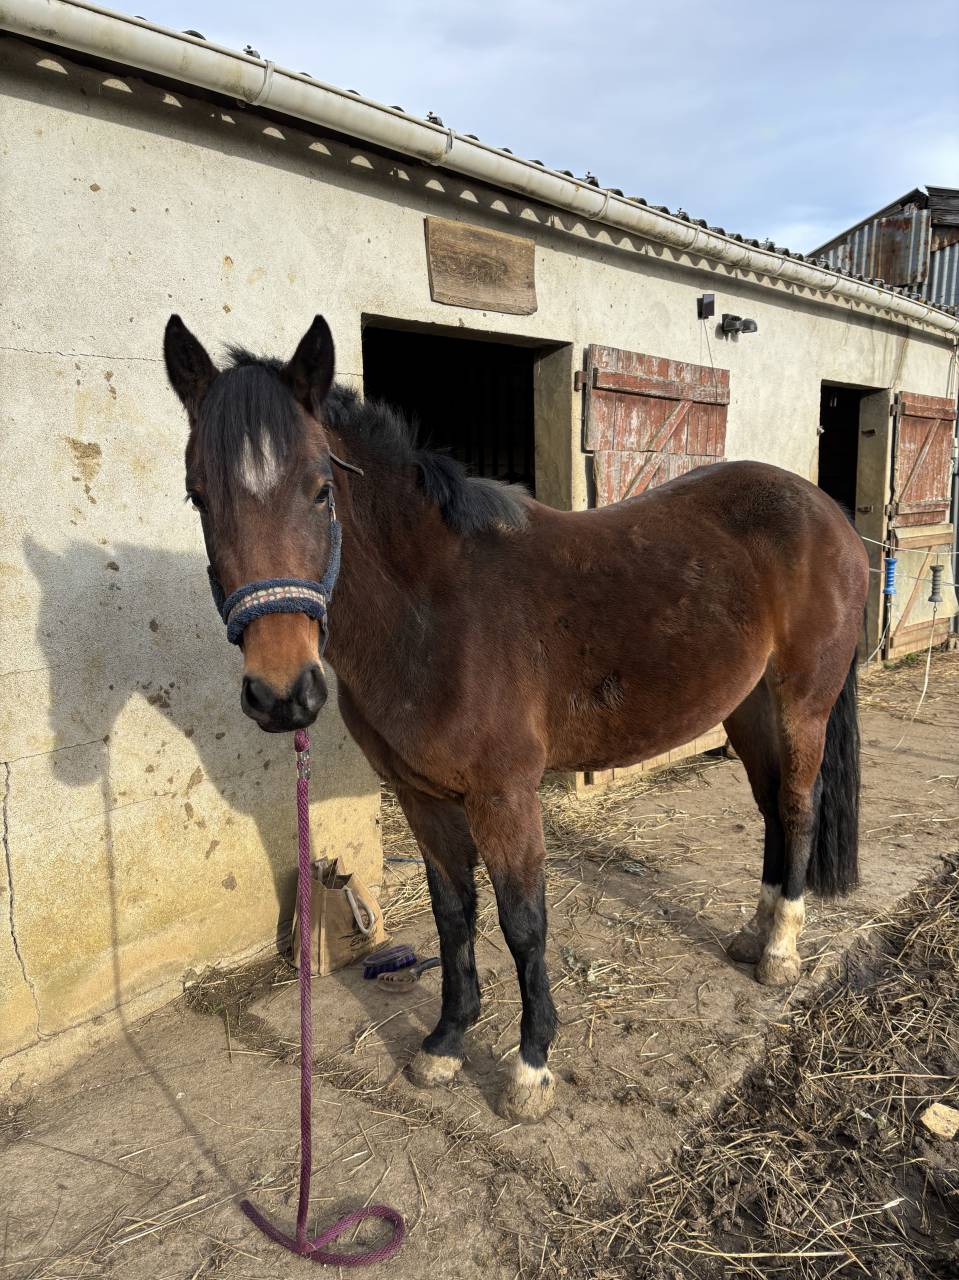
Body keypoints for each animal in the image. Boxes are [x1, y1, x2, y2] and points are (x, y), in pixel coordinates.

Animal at [164, 313, 869, 1124]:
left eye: (319, 490)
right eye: (197, 496)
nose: (282, 693)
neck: (435, 612)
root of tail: (825, 511)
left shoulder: (503, 796)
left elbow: (522, 923)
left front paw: (530, 1068)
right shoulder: (423, 798)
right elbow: (454, 914)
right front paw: (445, 1042)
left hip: (801, 704)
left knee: (798, 807)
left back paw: (781, 952)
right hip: (748, 710)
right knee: (771, 811)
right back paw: (754, 935)